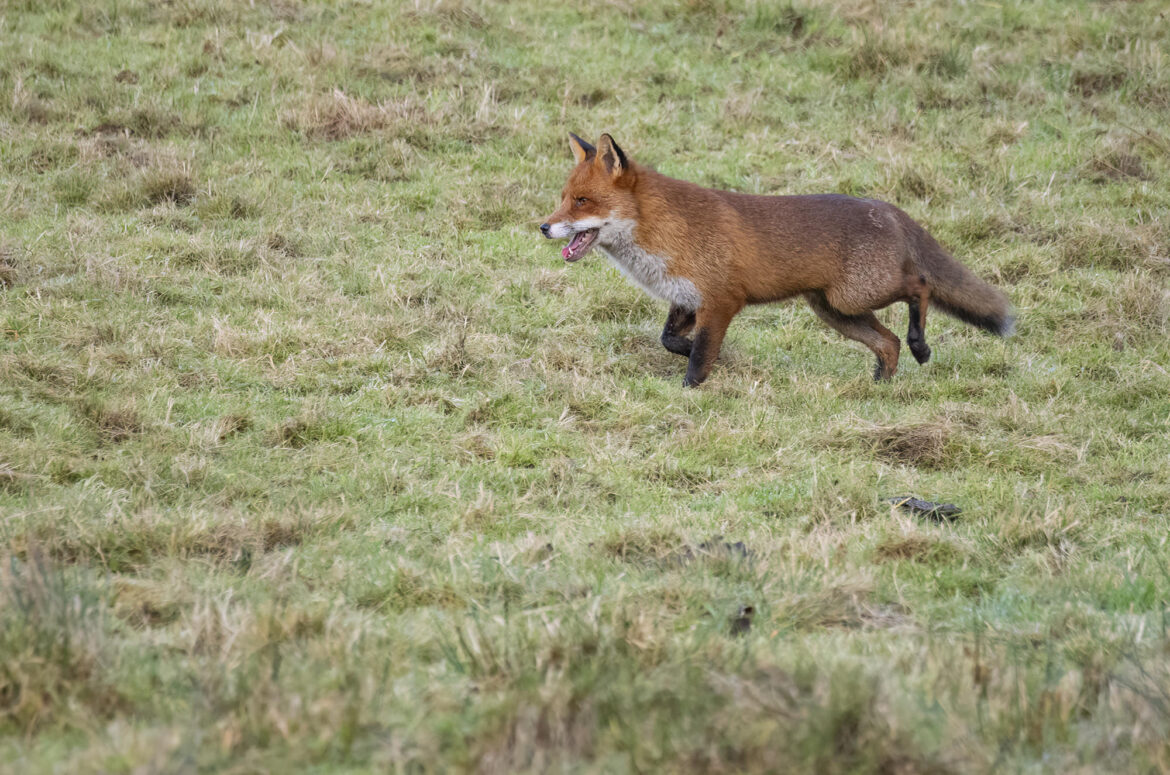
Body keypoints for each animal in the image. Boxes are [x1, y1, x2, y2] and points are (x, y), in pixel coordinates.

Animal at [539, 133, 1014, 387]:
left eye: (582, 202)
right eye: (563, 198)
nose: (543, 227)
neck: (666, 234)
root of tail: (888, 209)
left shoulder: (722, 300)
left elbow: (698, 359)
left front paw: (693, 388)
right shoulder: (688, 299)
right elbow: (671, 341)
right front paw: (718, 359)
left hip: (856, 295)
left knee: (920, 288)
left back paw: (920, 345)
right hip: (836, 310)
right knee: (888, 343)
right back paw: (881, 387)